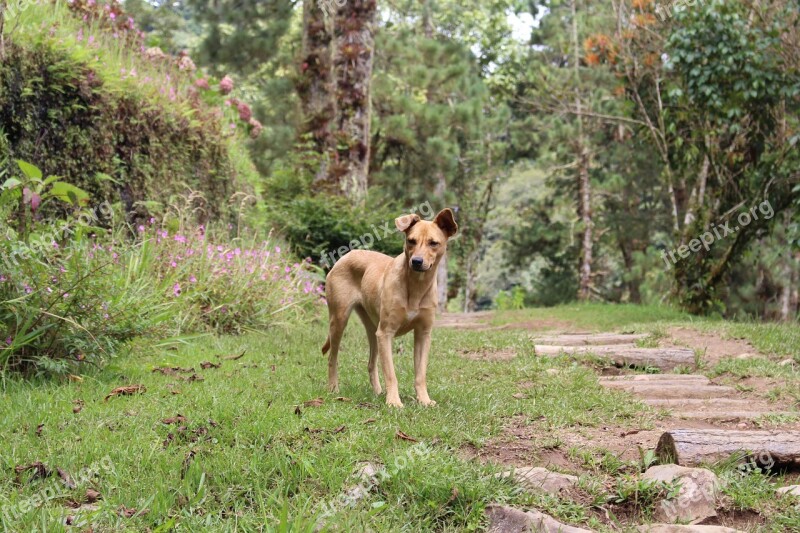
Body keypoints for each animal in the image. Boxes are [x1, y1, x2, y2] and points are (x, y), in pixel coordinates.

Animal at [318, 208, 456, 408]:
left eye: (433, 243)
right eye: (411, 240)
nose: (416, 261)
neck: (416, 287)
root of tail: (347, 255)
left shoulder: (423, 334)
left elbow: (420, 374)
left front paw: (424, 400)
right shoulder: (386, 333)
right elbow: (391, 374)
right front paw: (394, 402)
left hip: (373, 329)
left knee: (371, 363)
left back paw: (377, 392)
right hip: (339, 319)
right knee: (332, 358)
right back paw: (333, 388)